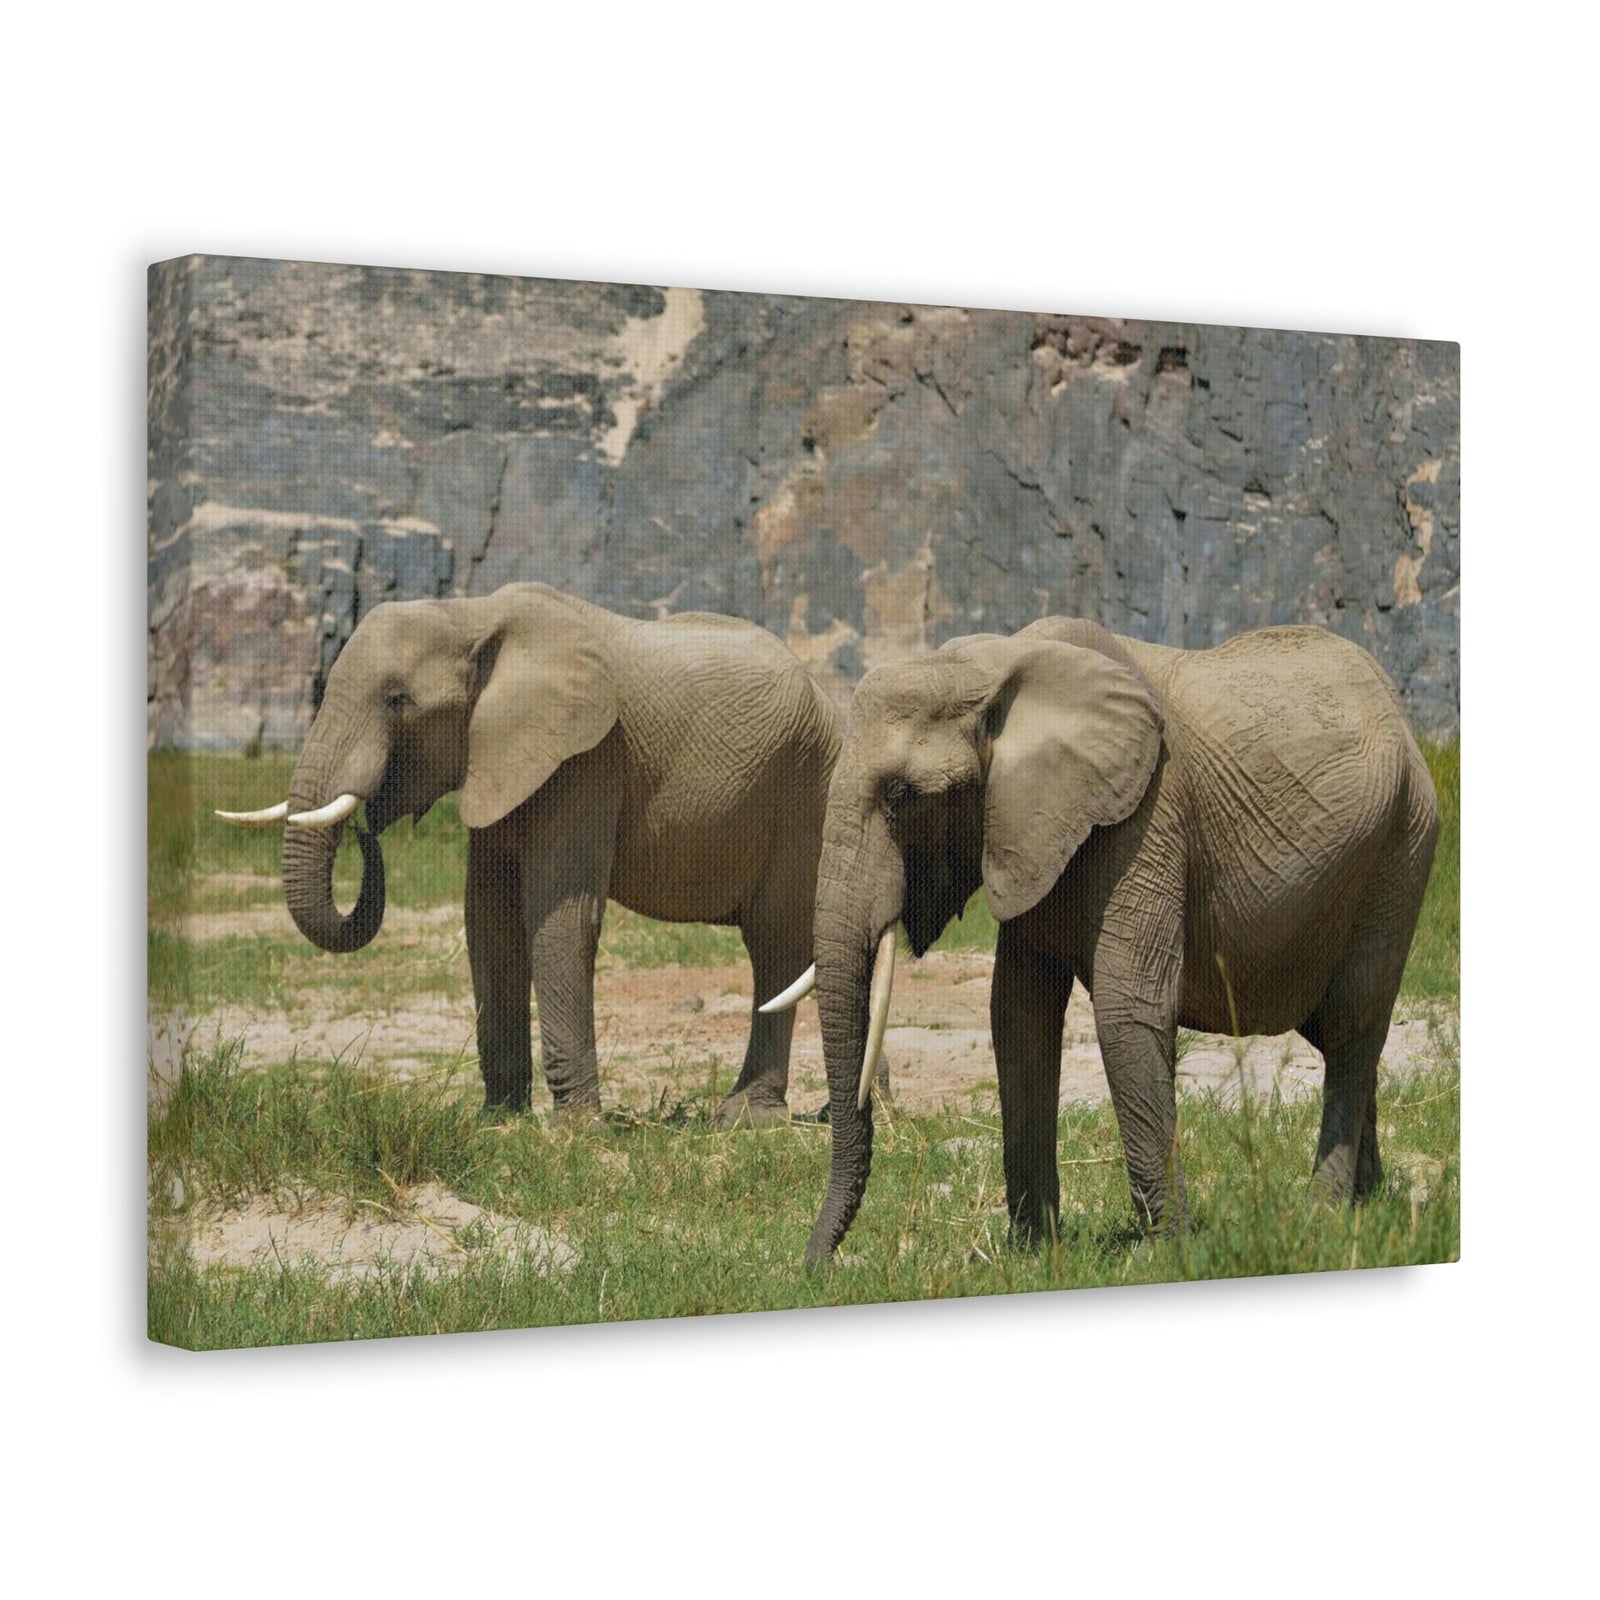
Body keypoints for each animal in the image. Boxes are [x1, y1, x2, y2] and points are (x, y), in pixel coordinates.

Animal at [217, 583, 841, 1128]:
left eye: (398, 700)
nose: (367, 829)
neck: (471, 614)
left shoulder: (590, 753)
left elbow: (559, 916)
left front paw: (578, 1131)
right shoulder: (498, 756)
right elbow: (489, 920)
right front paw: (499, 1121)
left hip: (806, 791)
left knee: (774, 946)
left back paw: (747, 1120)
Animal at [763, 617, 1439, 1266]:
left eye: (902, 797)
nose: (819, 1267)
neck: (992, 667)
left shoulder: (1148, 813)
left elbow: (1127, 1011)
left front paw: (1165, 1254)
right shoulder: (1027, 827)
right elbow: (1018, 1017)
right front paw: (1033, 1256)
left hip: (1402, 848)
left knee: (1352, 1024)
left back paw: (1322, 1216)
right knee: (1336, 1033)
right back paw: (1369, 1202)